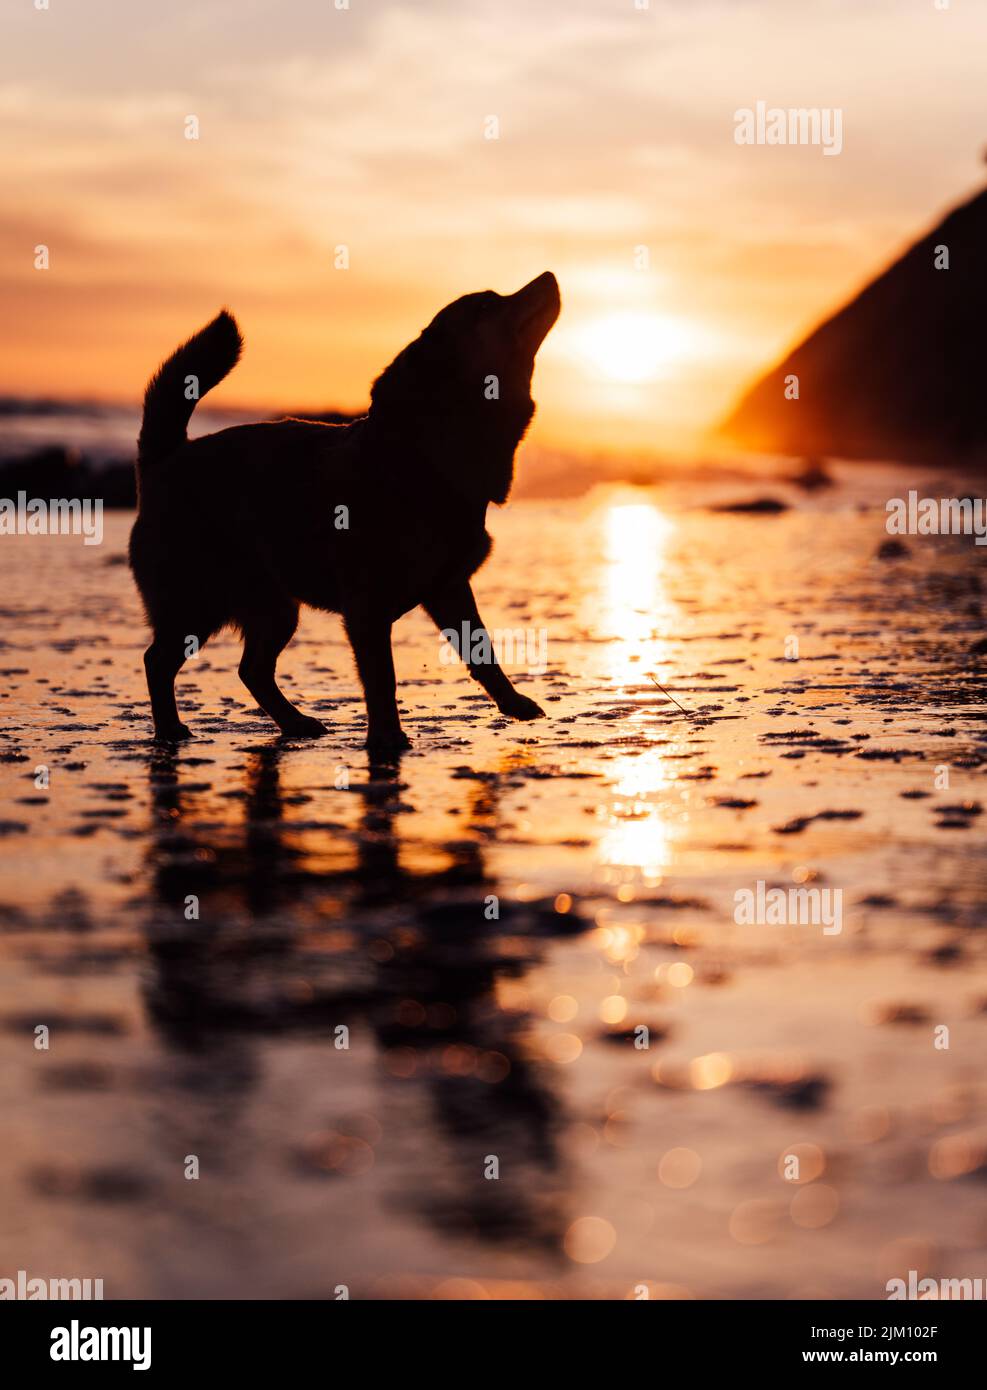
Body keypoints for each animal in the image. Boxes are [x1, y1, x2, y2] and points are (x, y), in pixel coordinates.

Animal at [129, 266, 564, 756]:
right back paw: (170, 728)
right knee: (158, 660)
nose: (548, 275)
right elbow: (382, 678)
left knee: (252, 669)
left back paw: (294, 721)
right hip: (196, 602)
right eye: (488, 304)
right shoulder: (368, 609)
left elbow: (482, 650)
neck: (426, 455)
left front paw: (512, 703)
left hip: (275, 610)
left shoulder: (450, 589)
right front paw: (387, 737)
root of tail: (164, 459)